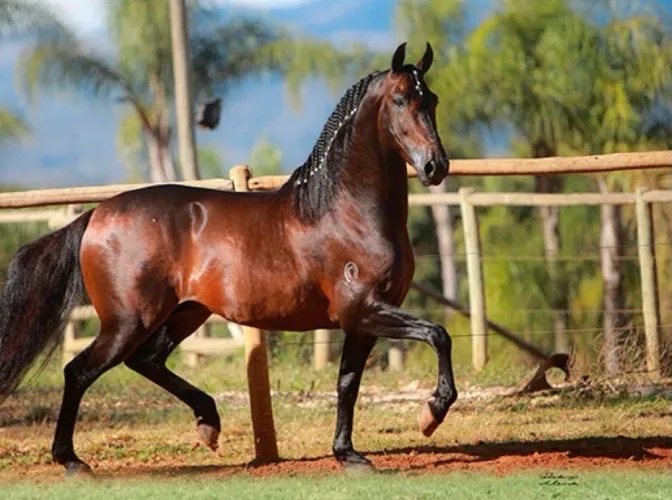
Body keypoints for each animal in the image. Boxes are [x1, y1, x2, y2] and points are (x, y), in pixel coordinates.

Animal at [0, 42, 456, 475]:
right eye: (400, 99)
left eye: (432, 98)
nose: (436, 166)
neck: (345, 211)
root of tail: (96, 215)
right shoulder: (363, 309)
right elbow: (438, 335)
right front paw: (430, 415)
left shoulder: (361, 319)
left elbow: (348, 383)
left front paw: (349, 454)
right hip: (129, 321)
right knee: (79, 371)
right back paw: (72, 460)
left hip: (185, 313)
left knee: (145, 361)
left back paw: (209, 423)